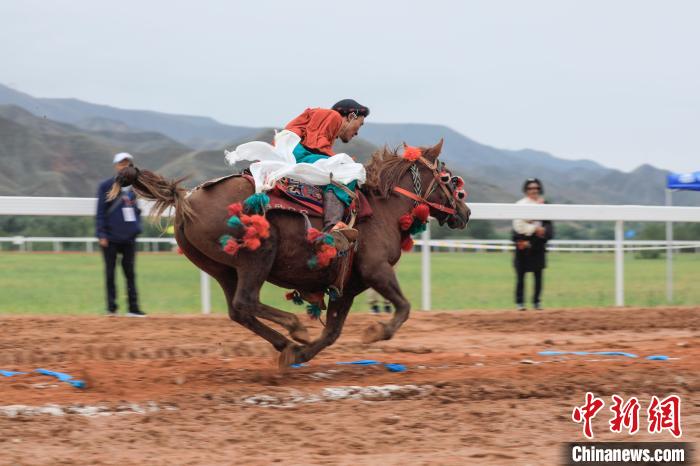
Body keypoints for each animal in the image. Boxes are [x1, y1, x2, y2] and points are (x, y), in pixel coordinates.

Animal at [113, 139, 470, 368]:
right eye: (449, 178)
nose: (465, 212)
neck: (383, 209)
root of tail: (186, 197)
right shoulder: (376, 269)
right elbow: (404, 307)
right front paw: (375, 332)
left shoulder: (347, 286)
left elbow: (332, 332)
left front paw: (302, 354)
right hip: (257, 255)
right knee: (247, 302)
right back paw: (294, 328)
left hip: (222, 269)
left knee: (238, 310)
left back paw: (287, 344)